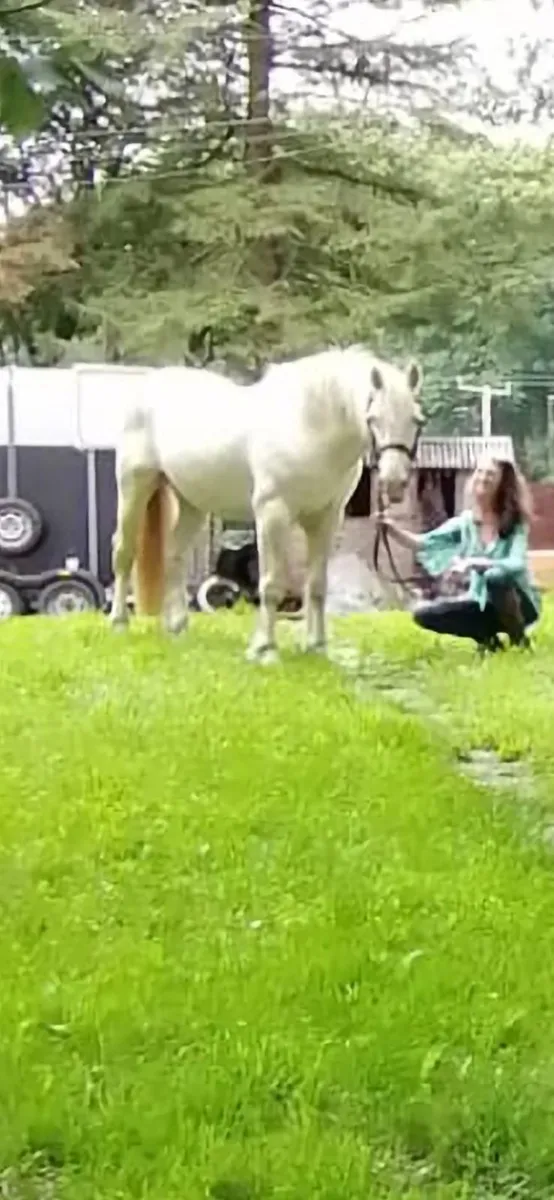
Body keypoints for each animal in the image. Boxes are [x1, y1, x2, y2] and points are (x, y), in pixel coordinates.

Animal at [109, 345, 424, 663]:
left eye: (417, 421)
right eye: (373, 418)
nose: (394, 482)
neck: (308, 426)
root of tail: (149, 386)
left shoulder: (326, 519)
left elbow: (317, 585)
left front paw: (317, 647)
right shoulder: (273, 513)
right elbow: (271, 584)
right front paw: (265, 650)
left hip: (191, 501)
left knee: (175, 555)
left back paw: (177, 628)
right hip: (135, 485)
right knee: (124, 551)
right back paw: (119, 622)